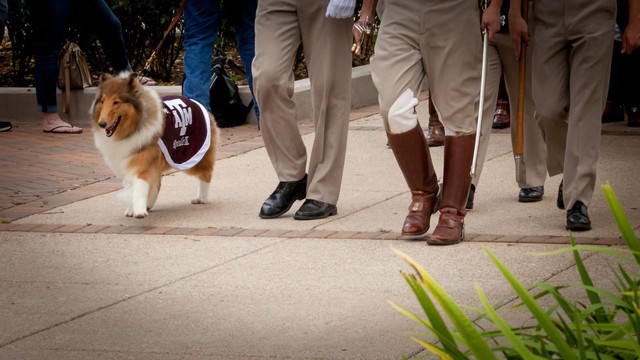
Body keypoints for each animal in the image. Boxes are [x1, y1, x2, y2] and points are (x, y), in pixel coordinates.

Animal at [91, 71, 219, 218]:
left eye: (116, 102)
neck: (132, 128)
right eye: (102, 101)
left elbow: (139, 187)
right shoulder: (128, 161)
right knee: (158, 183)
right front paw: (132, 208)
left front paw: (139, 211)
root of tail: (198, 103)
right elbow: (132, 187)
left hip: (192, 157)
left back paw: (201, 198)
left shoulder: (142, 163)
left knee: (206, 173)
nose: (102, 123)